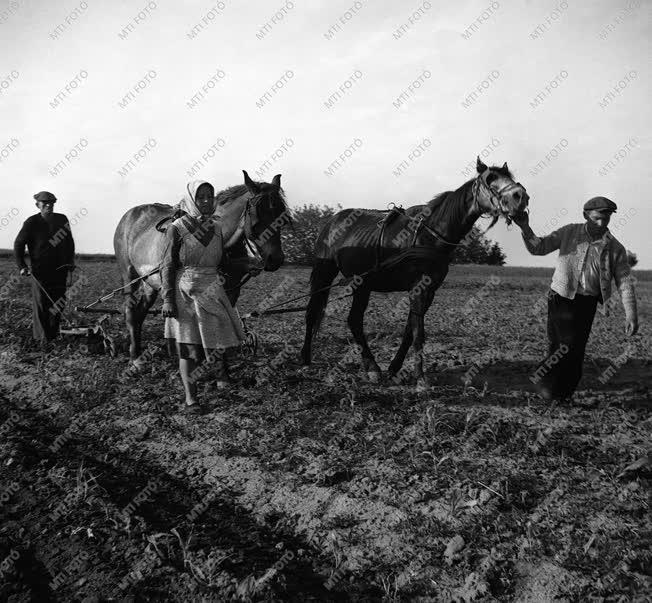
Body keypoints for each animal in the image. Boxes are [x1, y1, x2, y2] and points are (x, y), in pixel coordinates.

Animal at [114, 171, 290, 358]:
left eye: (283, 219)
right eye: (256, 220)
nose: (276, 259)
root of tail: (129, 215)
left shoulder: (230, 293)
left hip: (150, 282)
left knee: (140, 312)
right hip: (129, 275)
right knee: (131, 314)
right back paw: (134, 354)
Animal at [300, 158, 528, 390]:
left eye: (510, 177)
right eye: (490, 179)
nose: (520, 195)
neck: (431, 234)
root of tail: (332, 220)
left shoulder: (429, 290)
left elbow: (410, 330)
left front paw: (394, 369)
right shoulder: (419, 287)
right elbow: (419, 332)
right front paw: (420, 379)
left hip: (362, 284)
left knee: (354, 320)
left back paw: (372, 368)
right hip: (325, 272)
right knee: (313, 312)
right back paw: (306, 359)